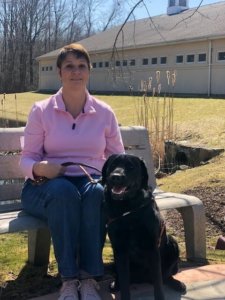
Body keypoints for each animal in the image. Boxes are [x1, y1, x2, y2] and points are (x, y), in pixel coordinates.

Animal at [102, 155, 186, 300]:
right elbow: (124, 281)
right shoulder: (119, 249)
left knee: (165, 276)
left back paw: (177, 283)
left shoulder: (152, 247)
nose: (116, 176)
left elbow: (158, 282)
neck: (128, 210)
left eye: (130, 166)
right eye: (112, 165)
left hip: (172, 242)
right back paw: (115, 284)